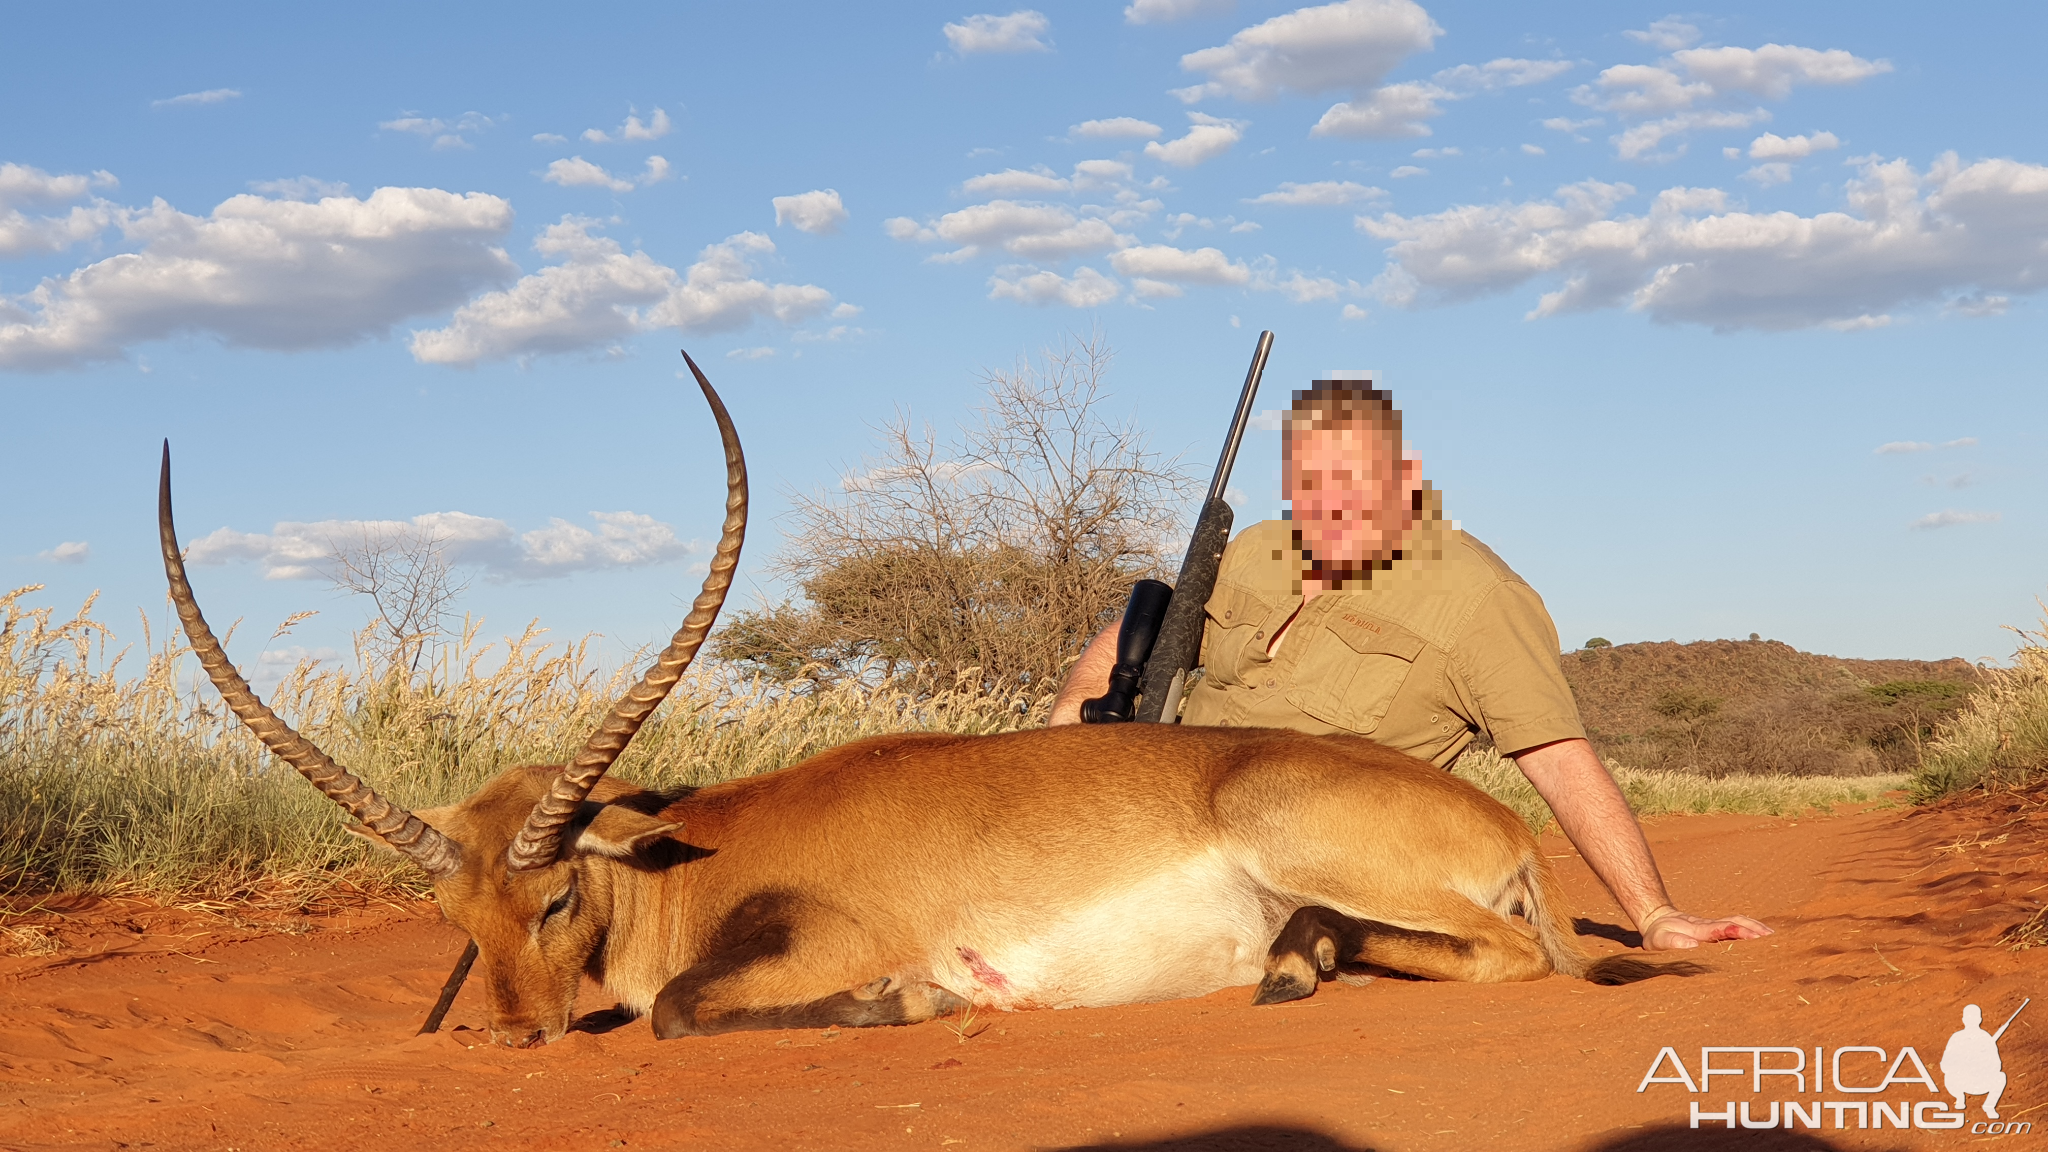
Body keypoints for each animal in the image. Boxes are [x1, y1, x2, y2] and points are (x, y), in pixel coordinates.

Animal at [159, 350, 1695, 1041]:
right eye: (454, 920)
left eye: (552, 901)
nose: (517, 1036)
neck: (693, 861)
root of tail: (1499, 825)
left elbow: (677, 1012)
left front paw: (905, 1004)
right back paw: (1289, 966)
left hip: (1309, 841)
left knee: (1510, 956)